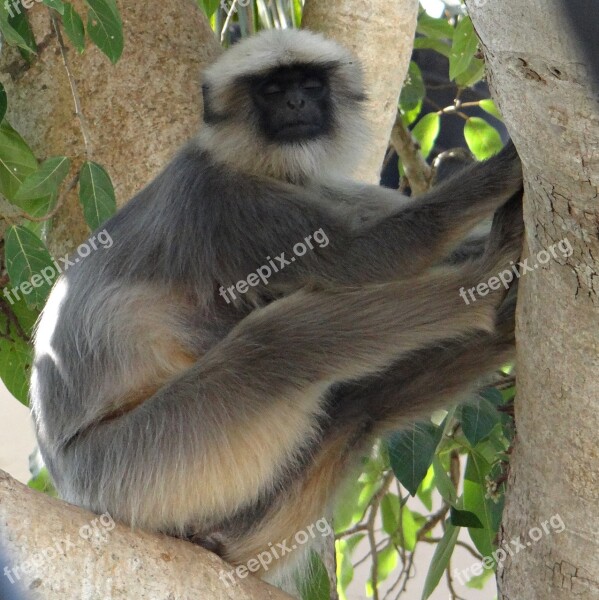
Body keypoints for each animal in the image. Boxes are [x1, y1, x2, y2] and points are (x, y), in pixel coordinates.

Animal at [30, 29, 524, 584]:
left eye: (309, 85)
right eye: (271, 91)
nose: (295, 104)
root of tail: (71, 484)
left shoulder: (314, 188)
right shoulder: (221, 199)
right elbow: (376, 256)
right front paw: (507, 169)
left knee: (362, 405)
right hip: (141, 464)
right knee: (277, 344)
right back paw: (486, 288)